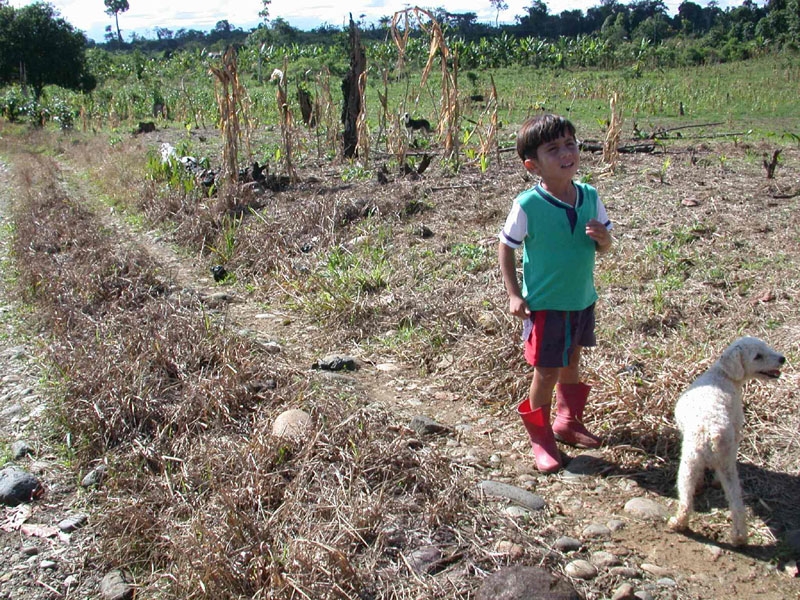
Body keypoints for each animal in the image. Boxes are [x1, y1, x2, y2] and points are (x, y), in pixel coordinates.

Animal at [664, 336, 784, 548]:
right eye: (758, 356)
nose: (782, 359)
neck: (723, 375)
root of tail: (713, 433)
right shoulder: (735, 432)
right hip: (722, 464)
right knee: (736, 504)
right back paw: (739, 537)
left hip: (690, 463)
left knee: (688, 500)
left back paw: (679, 523)